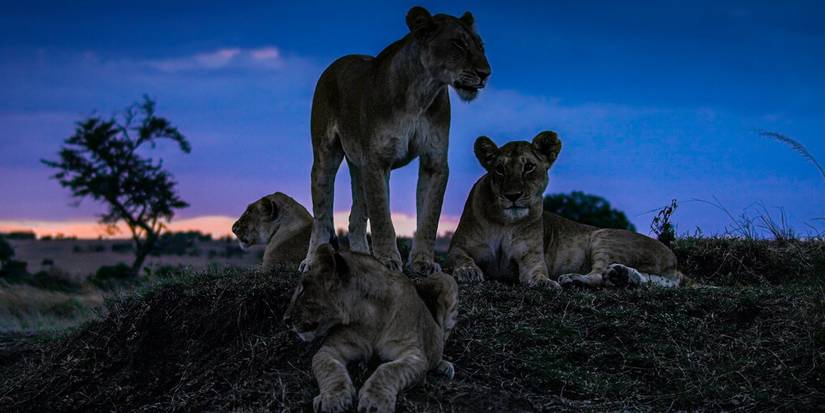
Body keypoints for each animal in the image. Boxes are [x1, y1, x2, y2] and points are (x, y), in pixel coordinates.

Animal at [284, 244, 458, 413]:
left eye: (302, 291)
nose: (285, 319)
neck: (368, 318)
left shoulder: (414, 354)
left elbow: (388, 369)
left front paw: (375, 401)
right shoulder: (330, 349)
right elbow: (329, 368)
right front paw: (333, 399)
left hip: (446, 280)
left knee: (442, 338)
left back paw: (444, 367)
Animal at [302, 6, 491, 276]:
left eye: (480, 46)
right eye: (458, 44)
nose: (485, 74)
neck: (421, 93)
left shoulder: (434, 162)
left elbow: (429, 218)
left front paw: (423, 262)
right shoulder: (377, 161)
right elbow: (382, 217)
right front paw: (388, 260)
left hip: (359, 167)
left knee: (356, 218)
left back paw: (361, 258)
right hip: (326, 157)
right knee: (321, 216)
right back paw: (312, 260)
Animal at [447, 131, 692, 289]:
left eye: (529, 167)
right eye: (499, 169)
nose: (512, 196)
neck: (504, 223)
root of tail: (673, 260)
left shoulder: (532, 259)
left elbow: (537, 273)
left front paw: (546, 283)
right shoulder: (458, 246)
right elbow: (460, 258)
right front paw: (468, 272)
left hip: (603, 236)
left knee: (599, 275)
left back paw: (576, 278)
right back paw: (622, 275)